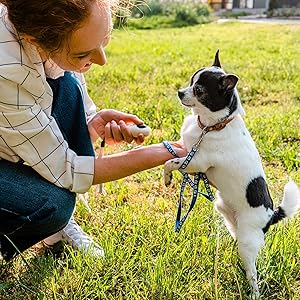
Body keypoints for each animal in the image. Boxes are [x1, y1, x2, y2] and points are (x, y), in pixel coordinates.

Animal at [164, 51, 300, 298]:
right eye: (190, 81)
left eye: (199, 90)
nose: (180, 92)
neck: (212, 125)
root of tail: (271, 215)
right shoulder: (187, 149)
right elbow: (172, 153)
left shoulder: (196, 161)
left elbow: (172, 163)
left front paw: (167, 175)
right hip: (231, 223)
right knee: (249, 260)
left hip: (248, 239)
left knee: (254, 272)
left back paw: (254, 292)